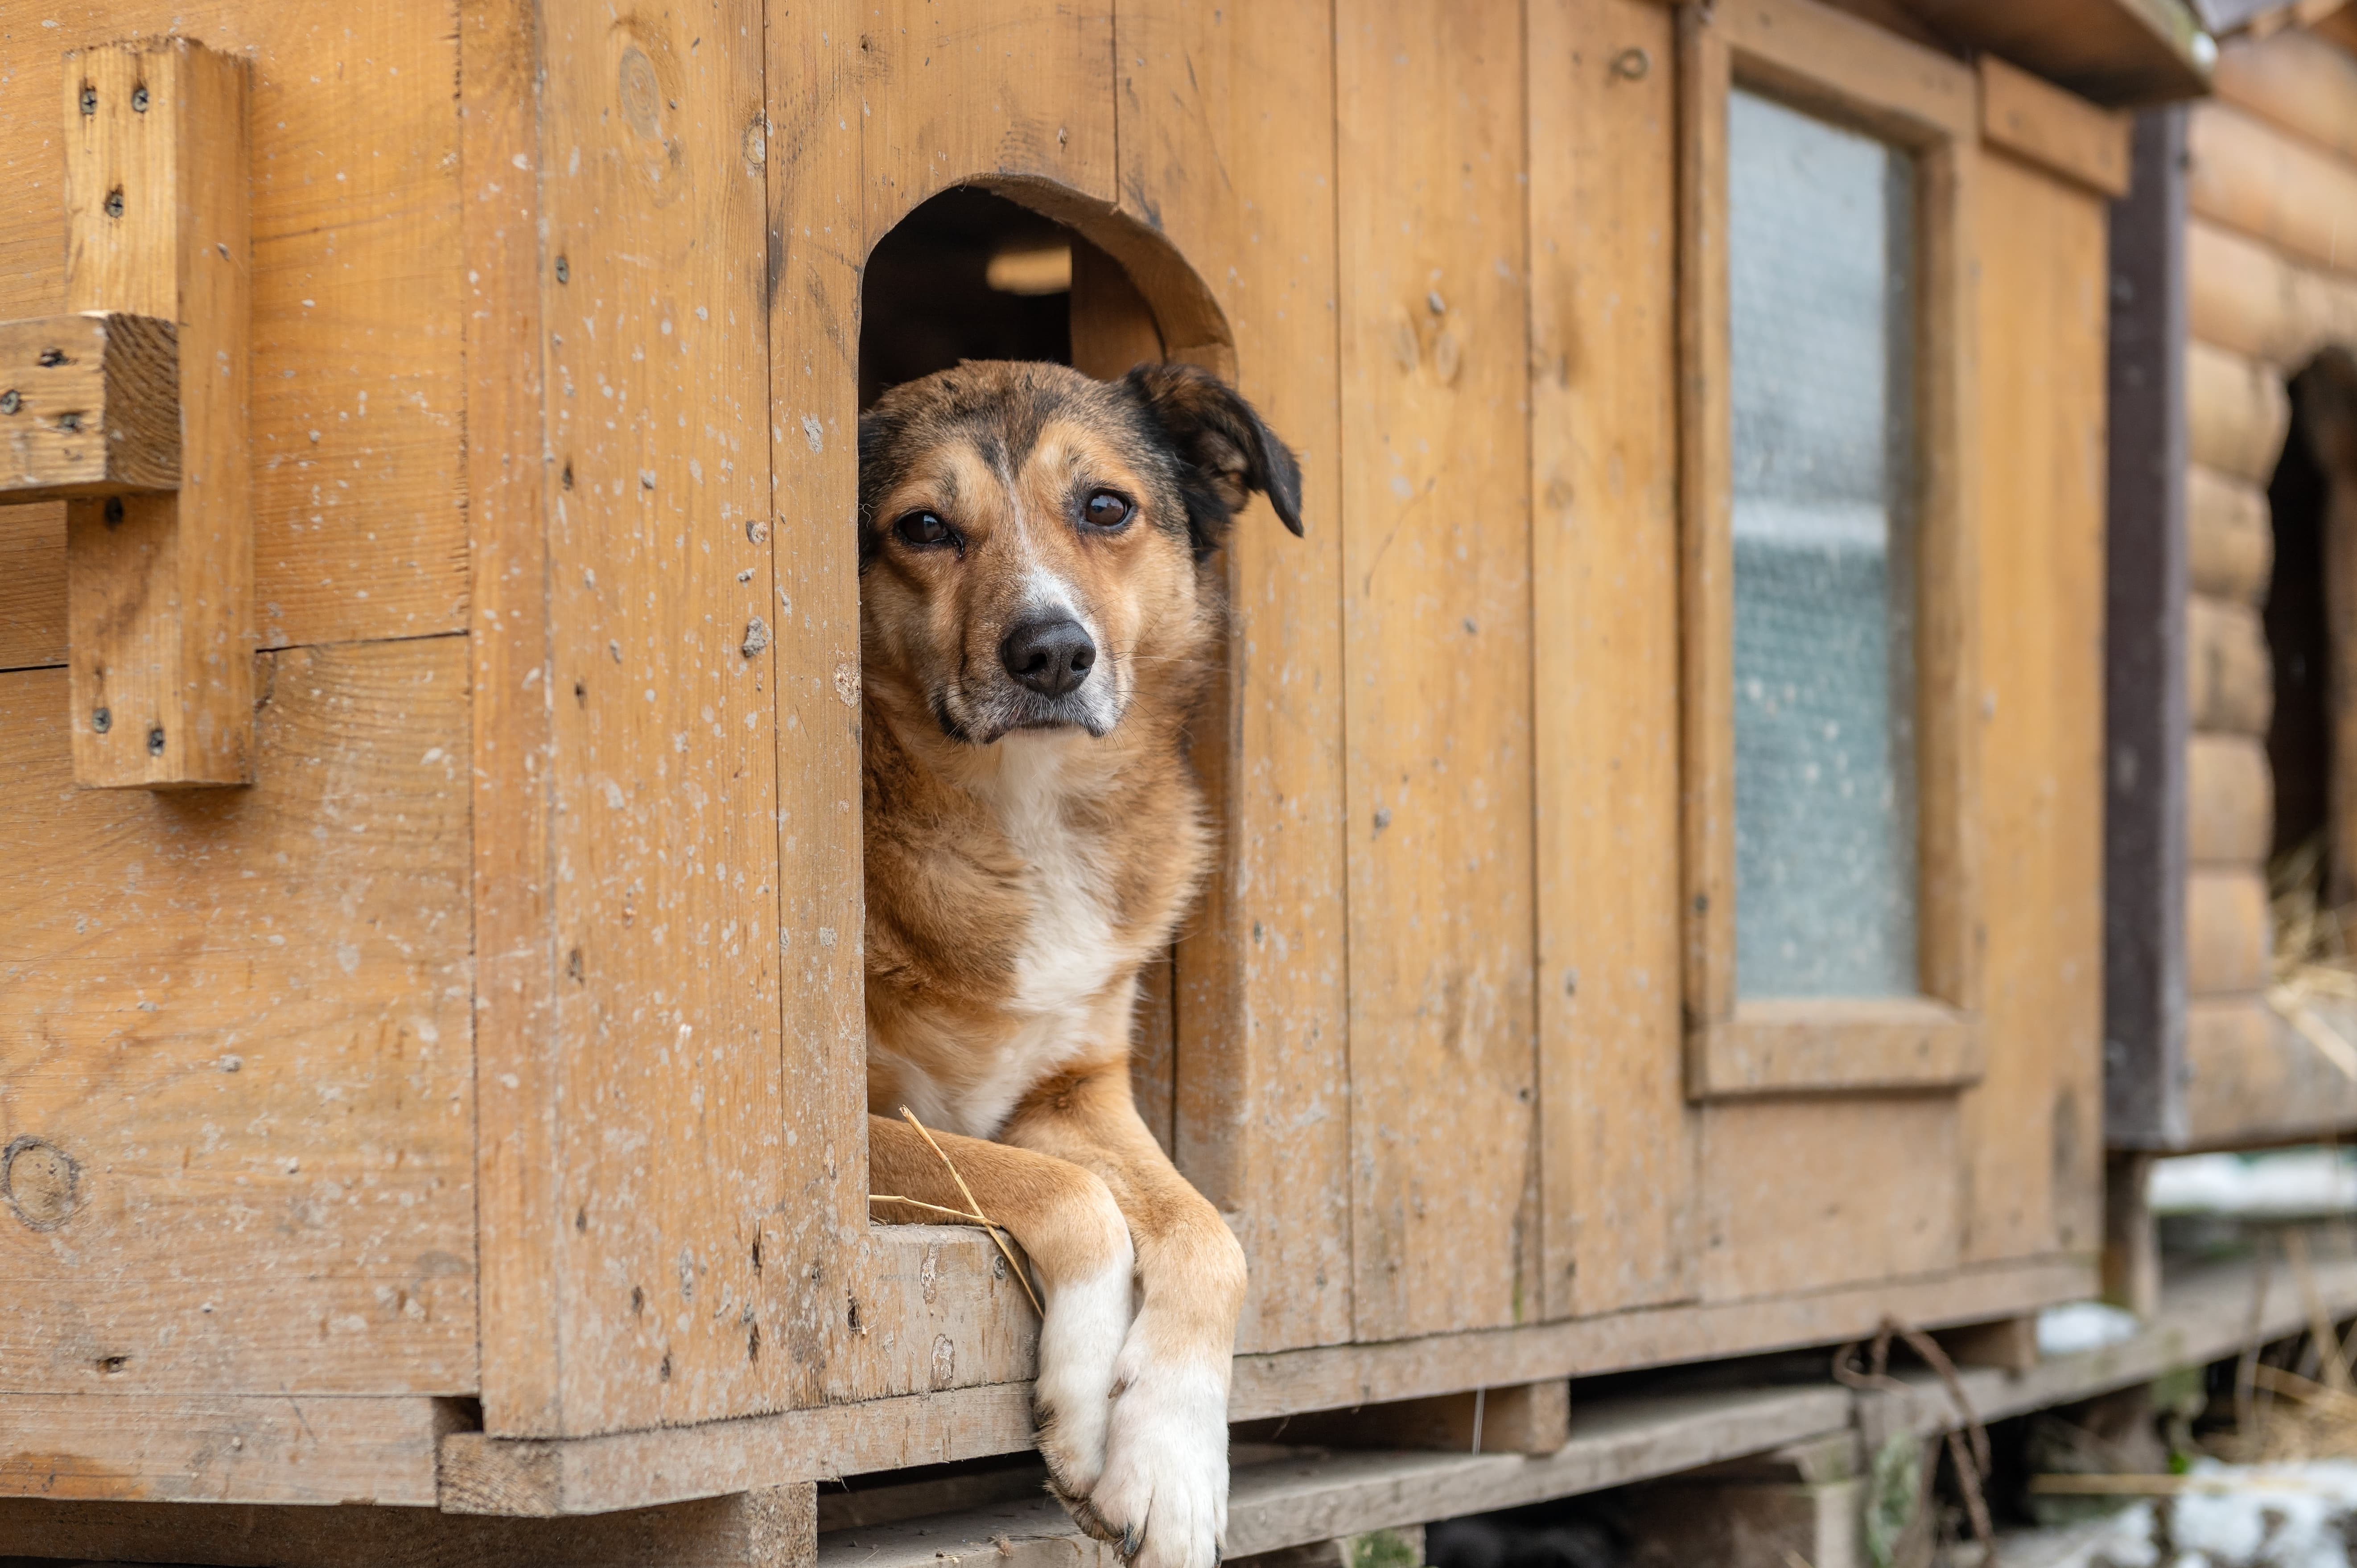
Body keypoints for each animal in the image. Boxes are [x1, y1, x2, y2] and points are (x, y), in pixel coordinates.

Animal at [862, 354, 1310, 1565]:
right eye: (923, 527)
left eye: (1106, 507)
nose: (1053, 652)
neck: (1025, 812)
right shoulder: (849, 1131)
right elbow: (1068, 1194)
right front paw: (1080, 1404)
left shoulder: (1076, 1093)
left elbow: (1212, 1236)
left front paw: (1173, 1467)